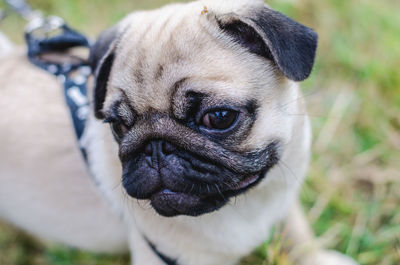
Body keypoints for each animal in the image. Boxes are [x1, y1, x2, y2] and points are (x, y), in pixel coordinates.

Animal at [0, 0, 358, 264]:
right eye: (119, 126)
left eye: (219, 117)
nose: (156, 147)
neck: (248, 203)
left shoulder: (284, 195)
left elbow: (297, 235)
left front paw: (317, 258)